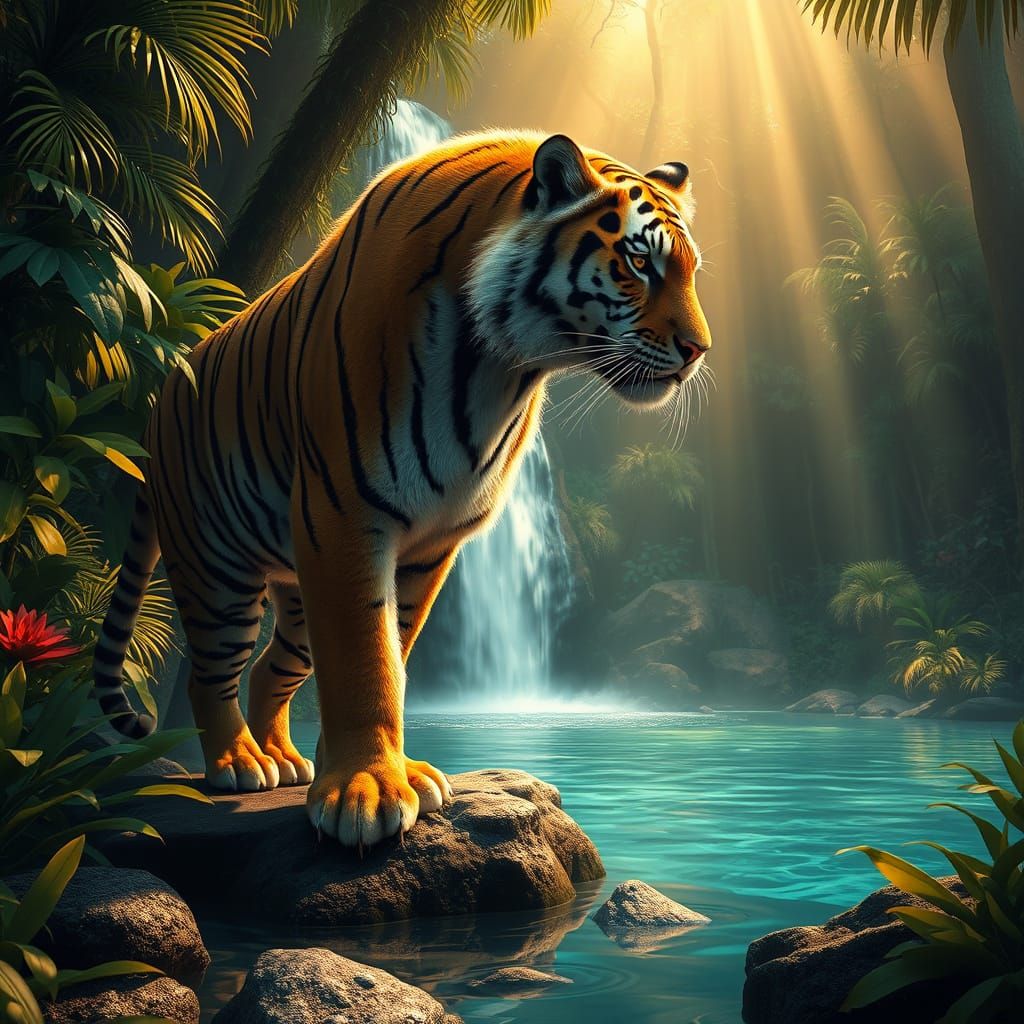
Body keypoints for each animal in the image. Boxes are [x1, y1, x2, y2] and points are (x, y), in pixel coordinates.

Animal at [93, 131, 712, 847]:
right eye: (639, 262)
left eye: (691, 271)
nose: (700, 350)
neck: (498, 369)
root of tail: (162, 393)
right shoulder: (342, 516)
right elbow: (365, 658)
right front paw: (365, 791)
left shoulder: (431, 539)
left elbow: (395, 644)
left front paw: (373, 772)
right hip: (215, 567)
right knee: (209, 673)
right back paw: (236, 764)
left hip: (294, 590)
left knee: (273, 667)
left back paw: (284, 758)